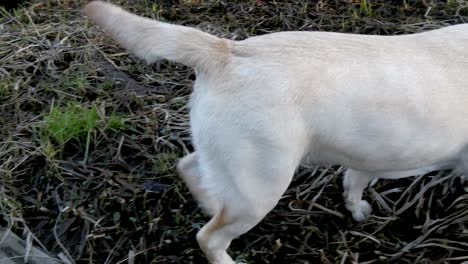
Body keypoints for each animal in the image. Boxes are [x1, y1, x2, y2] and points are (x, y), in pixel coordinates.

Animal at [83, 1, 468, 262]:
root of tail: (227, 50)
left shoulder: (372, 153)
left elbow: (355, 179)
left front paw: (356, 208)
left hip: (232, 165)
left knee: (191, 167)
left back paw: (209, 202)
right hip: (262, 185)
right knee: (209, 238)